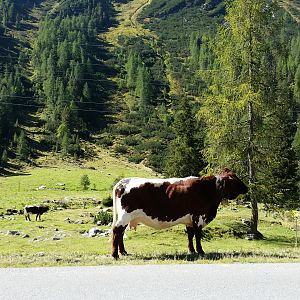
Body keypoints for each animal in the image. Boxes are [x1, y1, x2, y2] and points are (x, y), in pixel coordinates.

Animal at [111, 168, 247, 258]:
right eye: (233, 179)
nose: (246, 187)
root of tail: (124, 181)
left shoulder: (190, 219)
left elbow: (190, 235)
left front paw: (192, 251)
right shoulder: (198, 217)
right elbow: (198, 235)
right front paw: (201, 251)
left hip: (125, 217)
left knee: (120, 233)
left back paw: (123, 252)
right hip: (125, 216)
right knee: (117, 231)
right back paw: (115, 255)